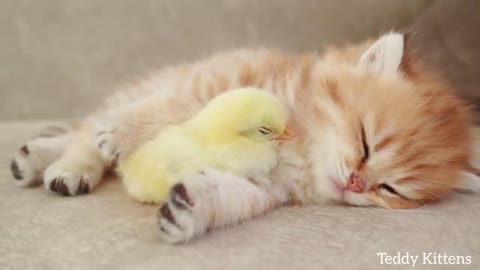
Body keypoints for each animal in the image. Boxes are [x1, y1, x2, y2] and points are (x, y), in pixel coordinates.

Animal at [9, 31, 478, 243]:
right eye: (366, 141)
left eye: (390, 189)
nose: (355, 183)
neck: (304, 145)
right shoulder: (216, 87)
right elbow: (173, 108)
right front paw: (124, 129)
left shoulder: (264, 186)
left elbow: (229, 196)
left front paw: (189, 209)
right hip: (148, 86)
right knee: (85, 131)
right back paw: (64, 165)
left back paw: (37, 157)